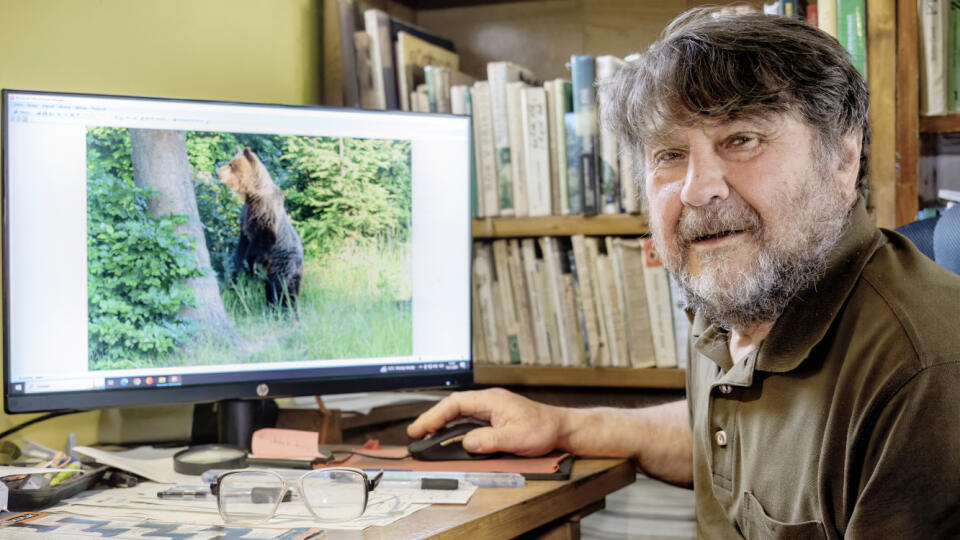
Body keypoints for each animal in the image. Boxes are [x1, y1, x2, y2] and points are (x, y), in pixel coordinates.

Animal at [217, 147, 304, 308]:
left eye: (231, 164)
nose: (217, 171)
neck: (252, 194)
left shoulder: (265, 215)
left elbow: (259, 242)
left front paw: (249, 263)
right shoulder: (246, 215)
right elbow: (242, 244)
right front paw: (239, 266)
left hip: (283, 263)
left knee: (282, 288)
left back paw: (284, 307)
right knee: (272, 288)